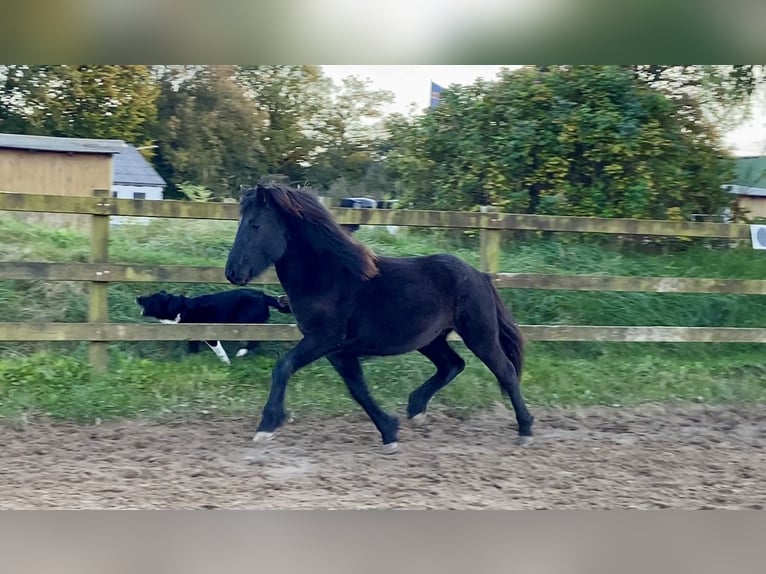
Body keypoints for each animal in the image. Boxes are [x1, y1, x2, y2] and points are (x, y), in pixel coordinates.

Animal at [136, 288, 292, 364]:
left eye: (151, 299)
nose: (137, 298)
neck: (180, 308)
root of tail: (263, 295)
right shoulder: (193, 336)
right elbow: (193, 350)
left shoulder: (211, 336)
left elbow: (220, 353)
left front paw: (227, 364)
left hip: (245, 323)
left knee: (257, 339)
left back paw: (241, 352)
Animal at [222, 184, 536, 454]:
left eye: (255, 225)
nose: (232, 272)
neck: (328, 278)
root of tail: (481, 276)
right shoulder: (338, 351)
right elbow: (358, 390)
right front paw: (389, 432)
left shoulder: (324, 339)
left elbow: (283, 367)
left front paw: (267, 426)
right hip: (431, 340)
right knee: (453, 365)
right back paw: (415, 409)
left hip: (479, 335)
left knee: (506, 372)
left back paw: (525, 430)